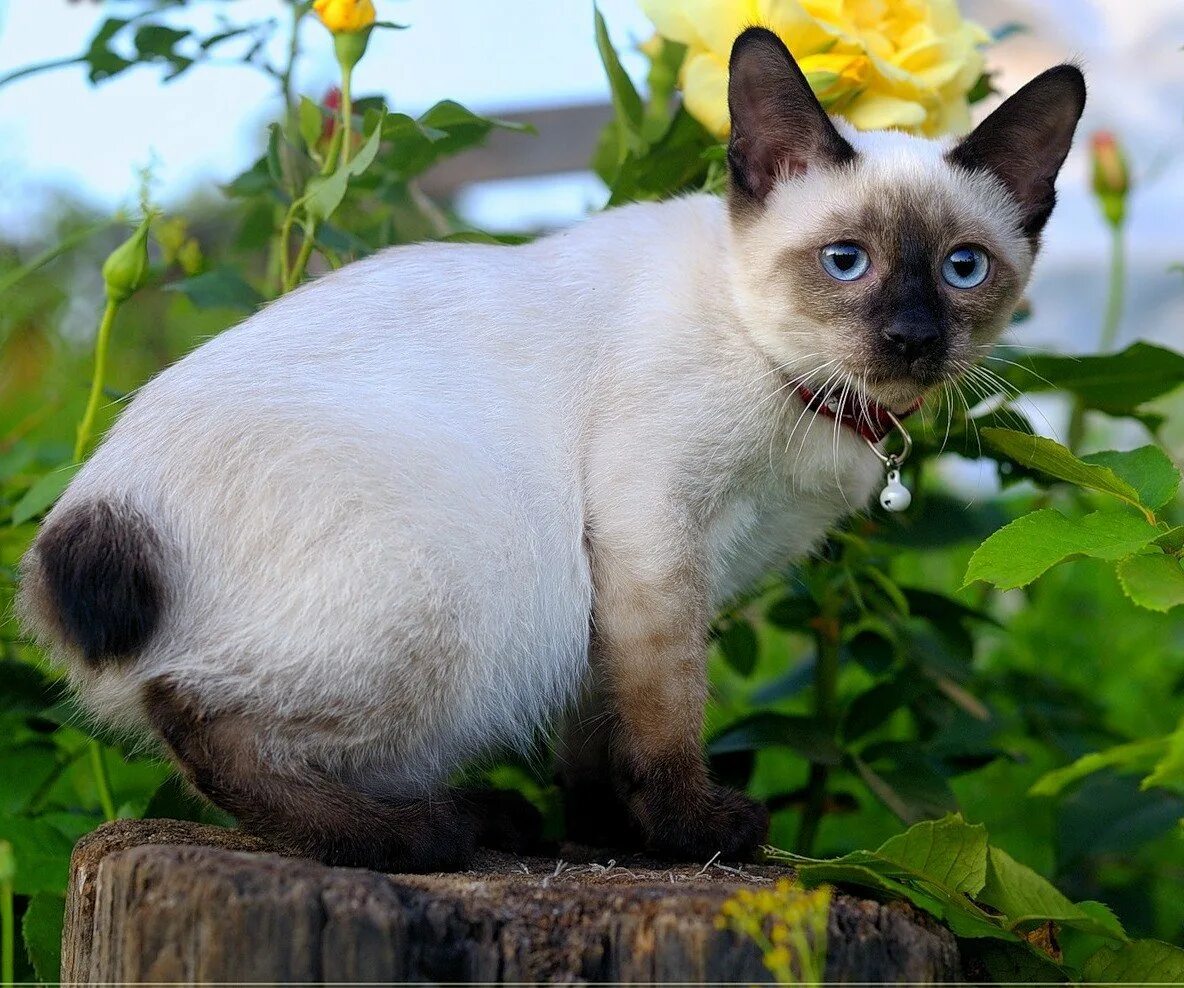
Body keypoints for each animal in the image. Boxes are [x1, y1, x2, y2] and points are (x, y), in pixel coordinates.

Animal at [18, 26, 1084, 867]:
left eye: (962, 270)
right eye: (846, 262)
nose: (910, 339)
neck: (801, 389)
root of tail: (89, 514)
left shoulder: (633, 573)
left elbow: (599, 727)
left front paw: (606, 837)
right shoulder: (649, 532)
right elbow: (664, 712)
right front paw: (692, 834)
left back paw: (493, 821)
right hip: (460, 583)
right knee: (198, 718)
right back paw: (430, 835)